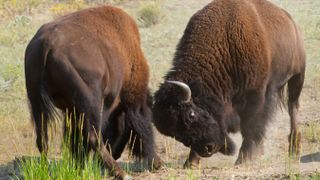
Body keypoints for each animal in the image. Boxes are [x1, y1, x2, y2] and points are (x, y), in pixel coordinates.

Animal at [24, 5, 162, 179]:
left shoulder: (70, 111)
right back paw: (121, 173)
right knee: (93, 137)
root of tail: (47, 42)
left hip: (36, 100)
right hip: (92, 103)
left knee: (43, 138)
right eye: (148, 116)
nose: (157, 163)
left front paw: (77, 167)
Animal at [152, 0, 304, 167]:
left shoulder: (256, 95)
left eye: (191, 115)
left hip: (297, 77)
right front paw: (190, 163)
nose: (208, 149)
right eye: (175, 134)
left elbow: (250, 126)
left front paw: (243, 159)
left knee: (292, 108)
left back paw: (293, 150)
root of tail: (291, 22)